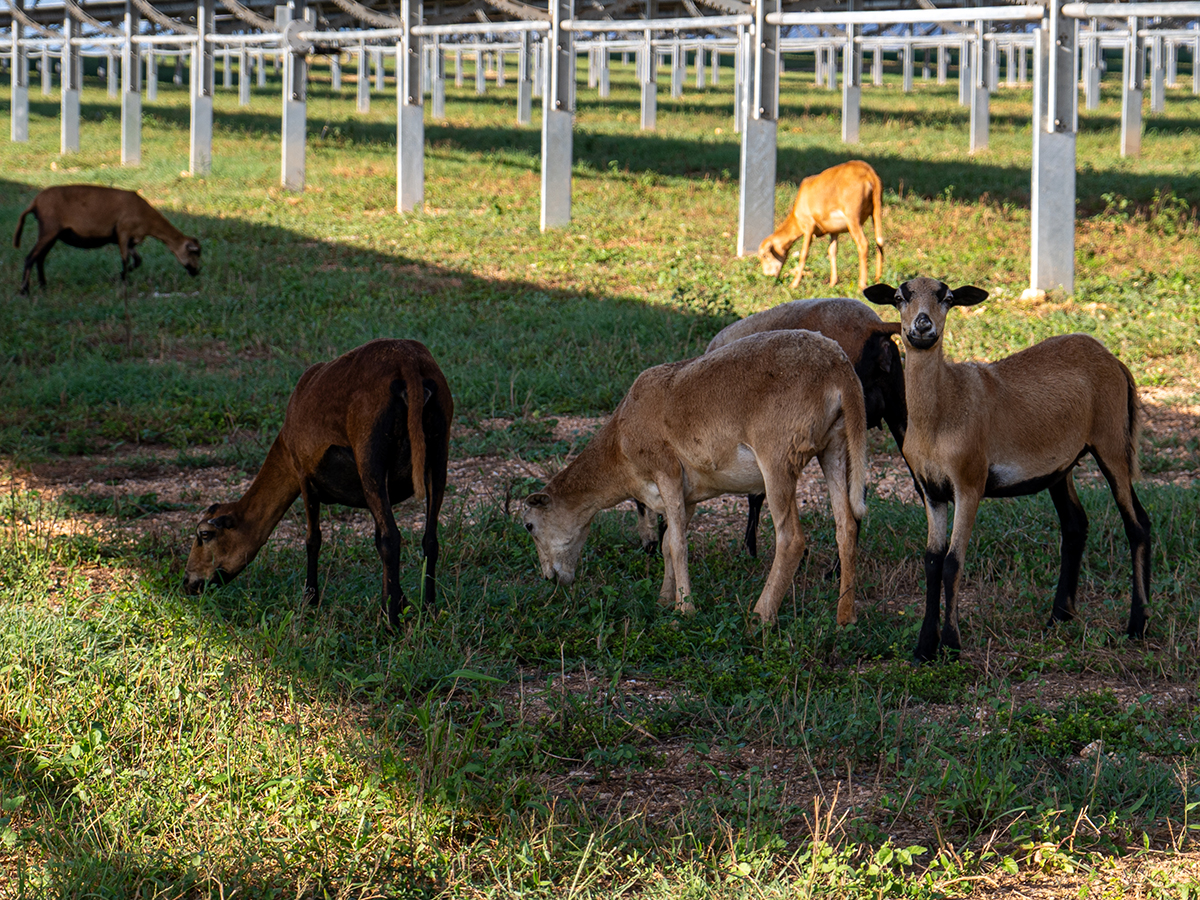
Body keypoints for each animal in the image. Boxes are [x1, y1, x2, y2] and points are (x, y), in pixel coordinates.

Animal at [12, 184, 200, 294]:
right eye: (194, 253)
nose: (197, 272)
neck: (148, 221)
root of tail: (35, 203)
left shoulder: (131, 240)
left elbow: (137, 261)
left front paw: (121, 276)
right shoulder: (123, 232)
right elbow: (125, 259)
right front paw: (123, 280)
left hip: (52, 234)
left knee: (40, 258)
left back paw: (43, 286)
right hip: (49, 229)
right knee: (30, 258)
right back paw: (24, 290)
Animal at [182, 340, 453, 633]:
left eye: (205, 535)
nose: (187, 583)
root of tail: (408, 363)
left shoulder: (304, 474)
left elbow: (313, 539)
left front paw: (309, 600)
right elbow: (375, 537)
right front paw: (400, 601)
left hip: (370, 453)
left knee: (391, 538)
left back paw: (390, 624)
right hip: (438, 448)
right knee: (429, 539)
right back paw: (429, 610)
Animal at [520, 331, 868, 628]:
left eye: (529, 526)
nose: (551, 579)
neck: (618, 450)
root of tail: (839, 369)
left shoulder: (667, 472)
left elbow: (677, 544)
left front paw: (684, 610)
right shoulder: (687, 495)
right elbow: (666, 544)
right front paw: (664, 600)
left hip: (778, 453)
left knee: (791, 538)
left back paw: (761, 616)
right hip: (834, 445)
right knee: (846, 527)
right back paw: (845, 617)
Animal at [633, 300, 902, 561]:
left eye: (640, 502)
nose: (649, 549)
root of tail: (875, 326)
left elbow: (756, 496)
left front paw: (750, 550)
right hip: (890, 410)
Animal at [753, 158, 888, 292]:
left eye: (764, 255)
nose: (769, 277)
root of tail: (869, 173)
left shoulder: (808, 227)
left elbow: (804, 254)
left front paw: (794, 284)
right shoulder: (834, 231)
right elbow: (832, 251)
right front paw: (832, 283)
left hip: (853, 218)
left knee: (863, 244)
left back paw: (862, 285)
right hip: (875, 212)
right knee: (879, 242)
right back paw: (877, 279)